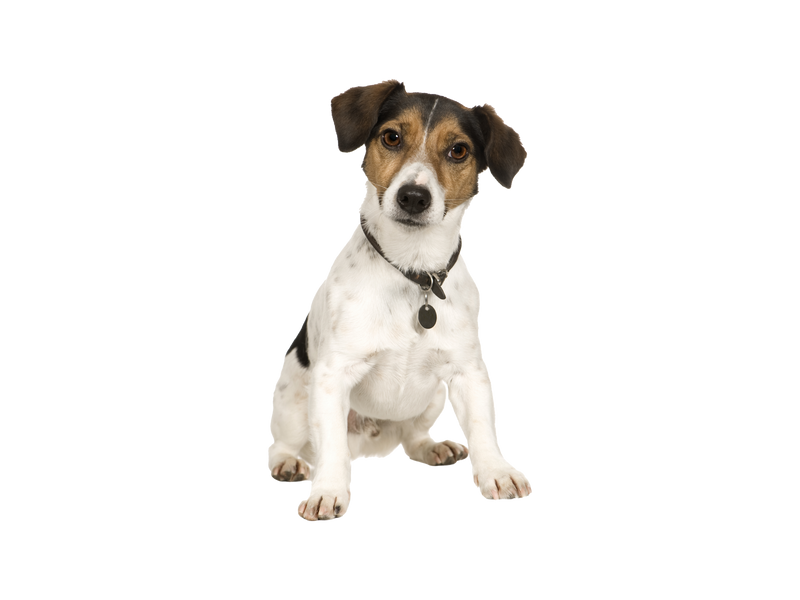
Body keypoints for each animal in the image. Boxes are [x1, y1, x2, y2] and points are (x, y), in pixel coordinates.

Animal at [266, 78, 536, 520]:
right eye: (392, 137)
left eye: (458, 150)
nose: (413, 196)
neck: (413, 271)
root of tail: (371, 436)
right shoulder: (332, 376)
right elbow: (330, 447)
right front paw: (328, 491)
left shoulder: (469, 371)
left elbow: (484, 427)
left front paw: (498, 472)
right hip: (292, 395)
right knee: (288, 443)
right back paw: (288, 462)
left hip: (431, 399)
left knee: (411, 434)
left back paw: (430, 447)